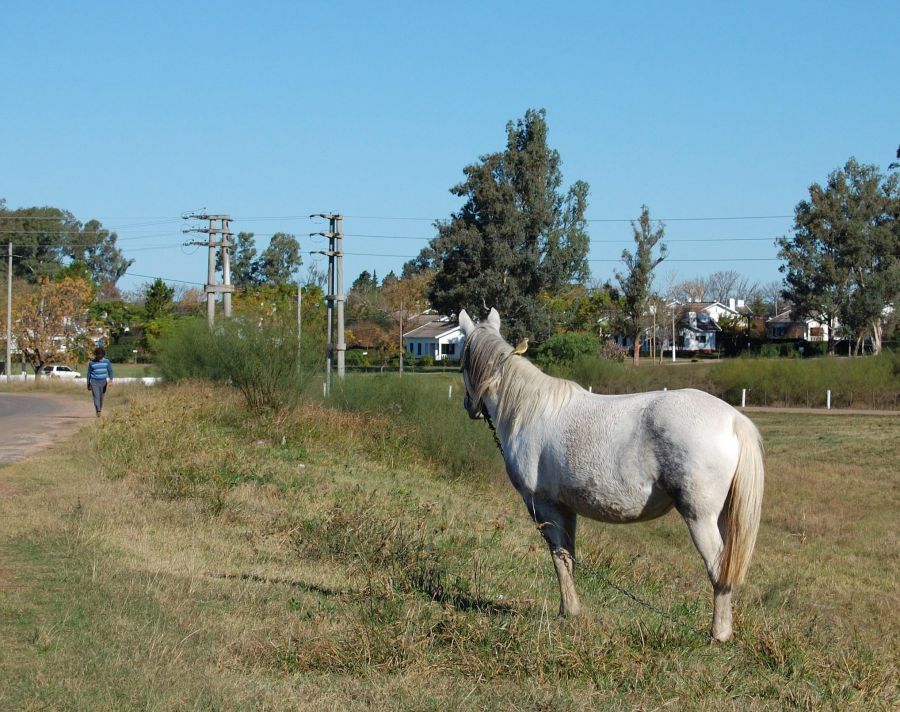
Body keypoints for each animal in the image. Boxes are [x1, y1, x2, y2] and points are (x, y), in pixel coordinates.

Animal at [460, 308, 764, 644]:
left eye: (461, 362)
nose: (469, 407)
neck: (530, 410)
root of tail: (733, 419)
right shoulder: (565, 507)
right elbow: (568, 556)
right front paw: (571, 609)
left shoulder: (543, 504)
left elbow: (558, 557)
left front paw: (568, 611)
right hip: (722, 517)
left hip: (701, 517)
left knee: (718, 567)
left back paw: (718, 633)